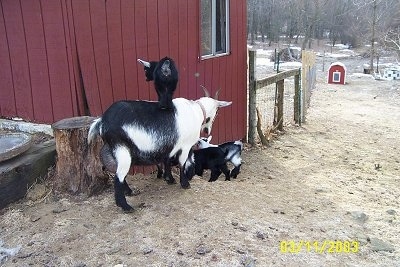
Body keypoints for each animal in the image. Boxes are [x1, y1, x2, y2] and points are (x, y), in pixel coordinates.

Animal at [87, 91, 231, 213]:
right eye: (217, 111)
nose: (207, 130)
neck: (196, 111)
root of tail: (102, 121)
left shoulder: (170, 145)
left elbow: (167, 160)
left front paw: (169, 179)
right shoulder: (185, 146)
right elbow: (182, 163)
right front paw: (185, 184)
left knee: (119, 174)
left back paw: (129, 192)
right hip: (121, 149)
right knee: (118, 177)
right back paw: (126, 206)